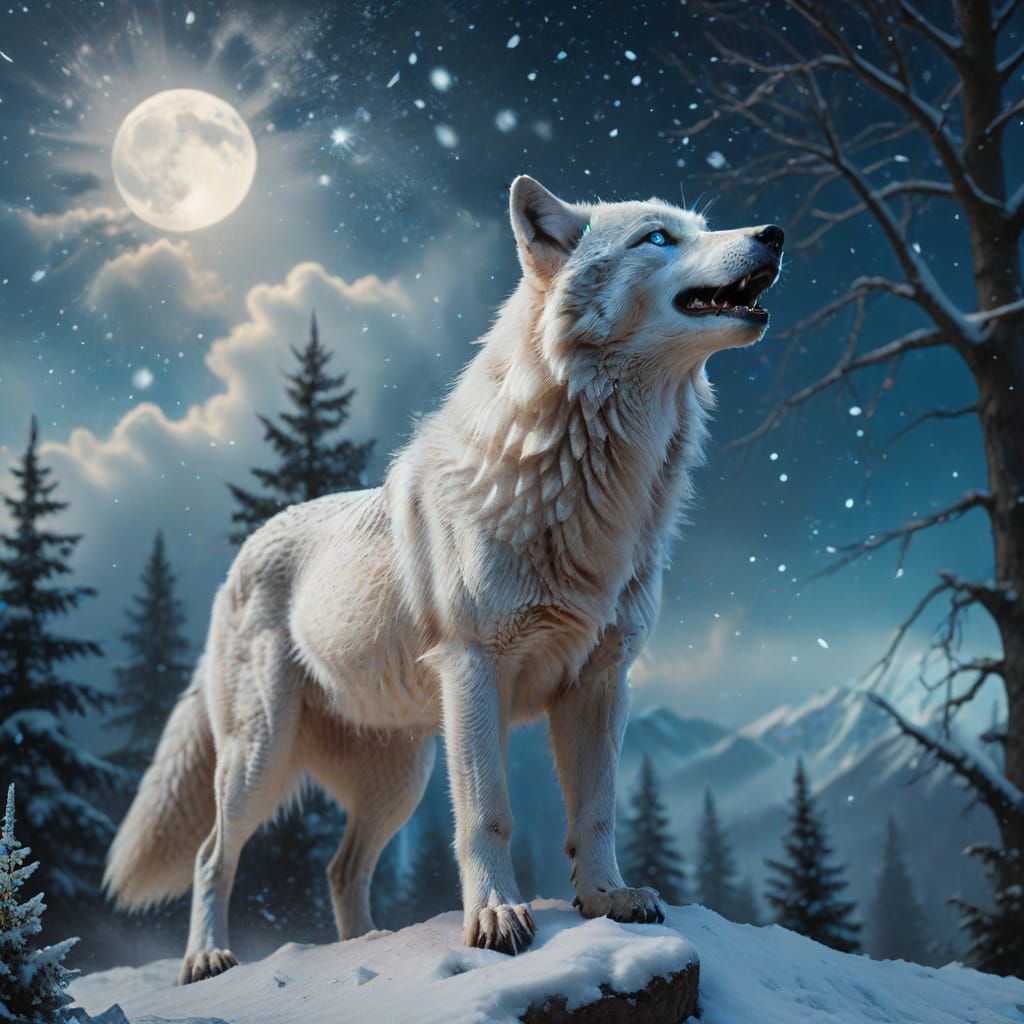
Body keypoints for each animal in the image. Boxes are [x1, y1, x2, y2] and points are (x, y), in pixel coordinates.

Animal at [105, 175, 783, 983]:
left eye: (703, 226)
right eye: (657, 238)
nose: (775, 233)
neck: (586, 477)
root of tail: (235, 562)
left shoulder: (601, 680)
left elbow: (595, 812)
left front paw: (607, 898)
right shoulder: (475, 670)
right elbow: (489, 814)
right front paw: (495, 917)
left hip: (400, 777)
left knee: (340, 867)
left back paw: (364, 948)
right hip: (262, 757)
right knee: (213, 854)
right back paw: (208, 958)